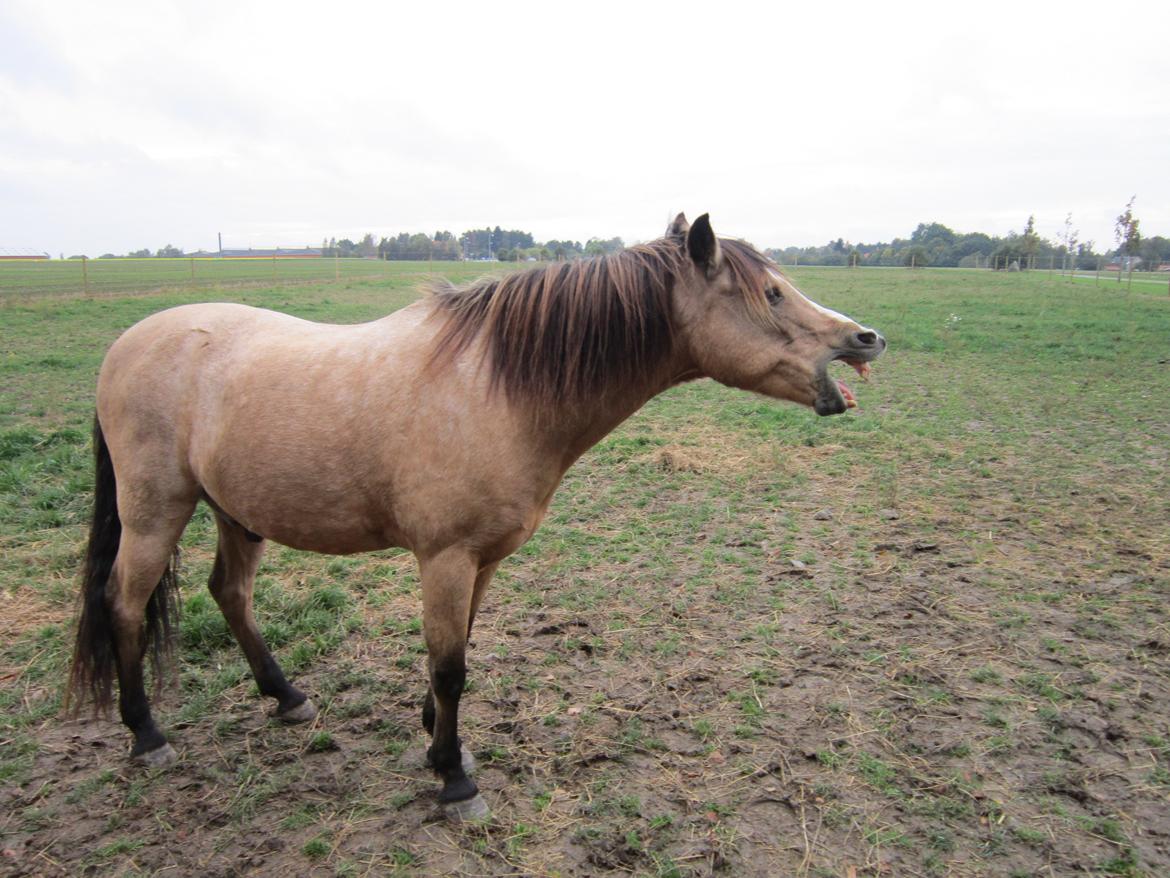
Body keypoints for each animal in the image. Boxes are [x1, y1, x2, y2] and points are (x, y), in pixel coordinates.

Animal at [66, 216, 884, 824]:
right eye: (771, 292)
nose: (866, 338)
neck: (500, 386)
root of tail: (125, 343)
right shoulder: (446, 557)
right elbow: (450, 665)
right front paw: (455, 784)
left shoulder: (483, 560)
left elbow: (460, 651)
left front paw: (440, 747)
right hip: (155, 511)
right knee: (124, 604)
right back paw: (146, 735)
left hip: (238, 513)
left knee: (229, 594)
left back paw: (288, 699)